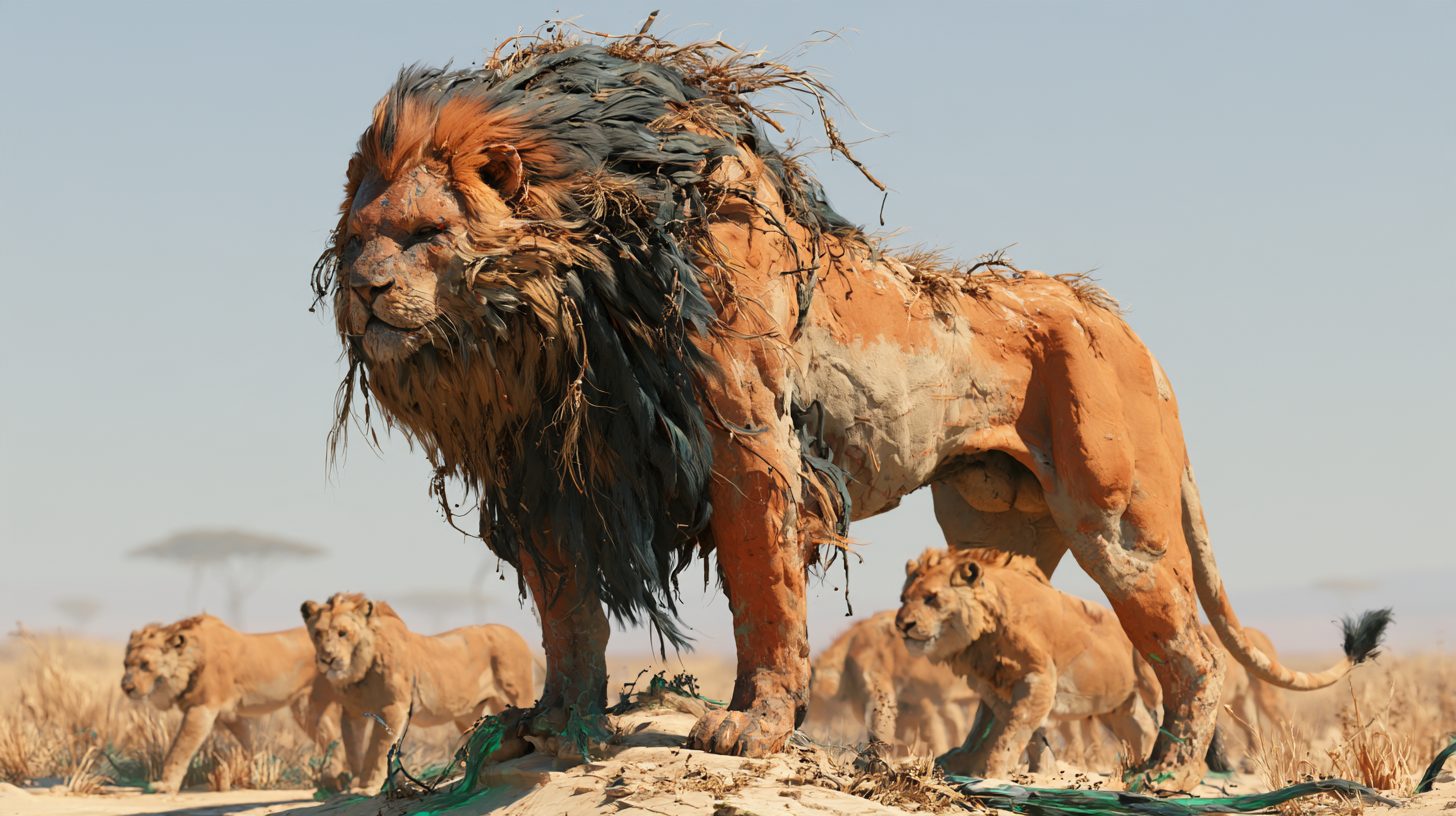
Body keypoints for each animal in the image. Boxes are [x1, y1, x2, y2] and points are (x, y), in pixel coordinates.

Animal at [121, 615, 359, 793]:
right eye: (126, 664)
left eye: (145, 665)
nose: (126, 687)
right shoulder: (230, 715)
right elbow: (249, 743)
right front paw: (257, 773)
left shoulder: (202, 708)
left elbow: (180, 748)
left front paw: (165, 785)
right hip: (308, 708)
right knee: (334, 740)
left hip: (310, 707)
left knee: (336, 741)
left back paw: (337, 781)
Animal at [299, 593, 534, 793]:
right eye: (318, 634)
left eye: (343, 633)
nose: (327, 658)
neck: (358, 670)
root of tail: (514, 632)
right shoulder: (352, 712)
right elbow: (353, 748)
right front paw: (355, 782)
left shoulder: (393, 707)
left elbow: (376, 749)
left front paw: (366, 785)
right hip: (467, 715)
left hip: (515, 693)